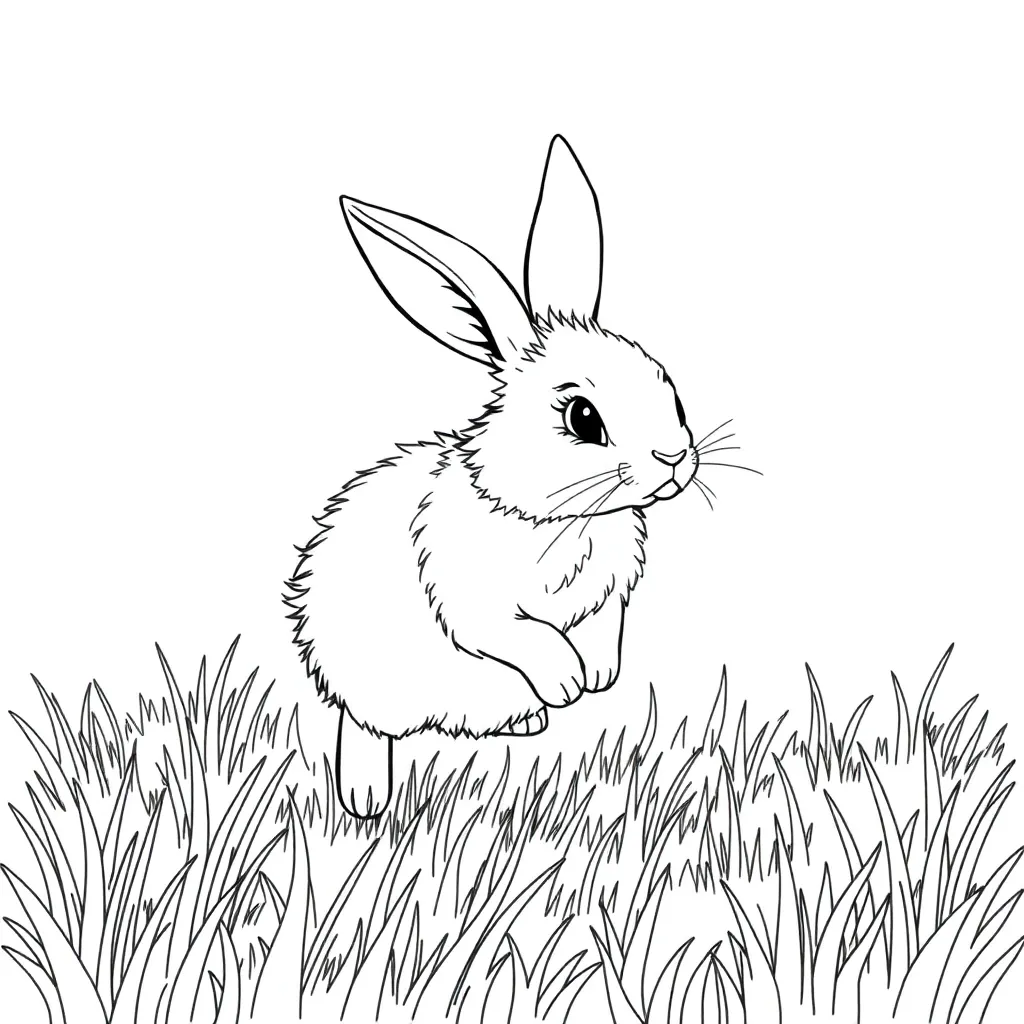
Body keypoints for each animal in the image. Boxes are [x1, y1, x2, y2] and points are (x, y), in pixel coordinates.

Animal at [284, 136, 700, 818]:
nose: (673, 459)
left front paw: (599, 674)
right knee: (364, 727)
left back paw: (526, 723)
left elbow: (604, 627)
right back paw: (367, 800)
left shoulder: (610, 595)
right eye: (583, 417)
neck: (566, 519)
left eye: (670, 389)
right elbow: (520, 634)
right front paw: (568, 680)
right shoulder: (472, 598)